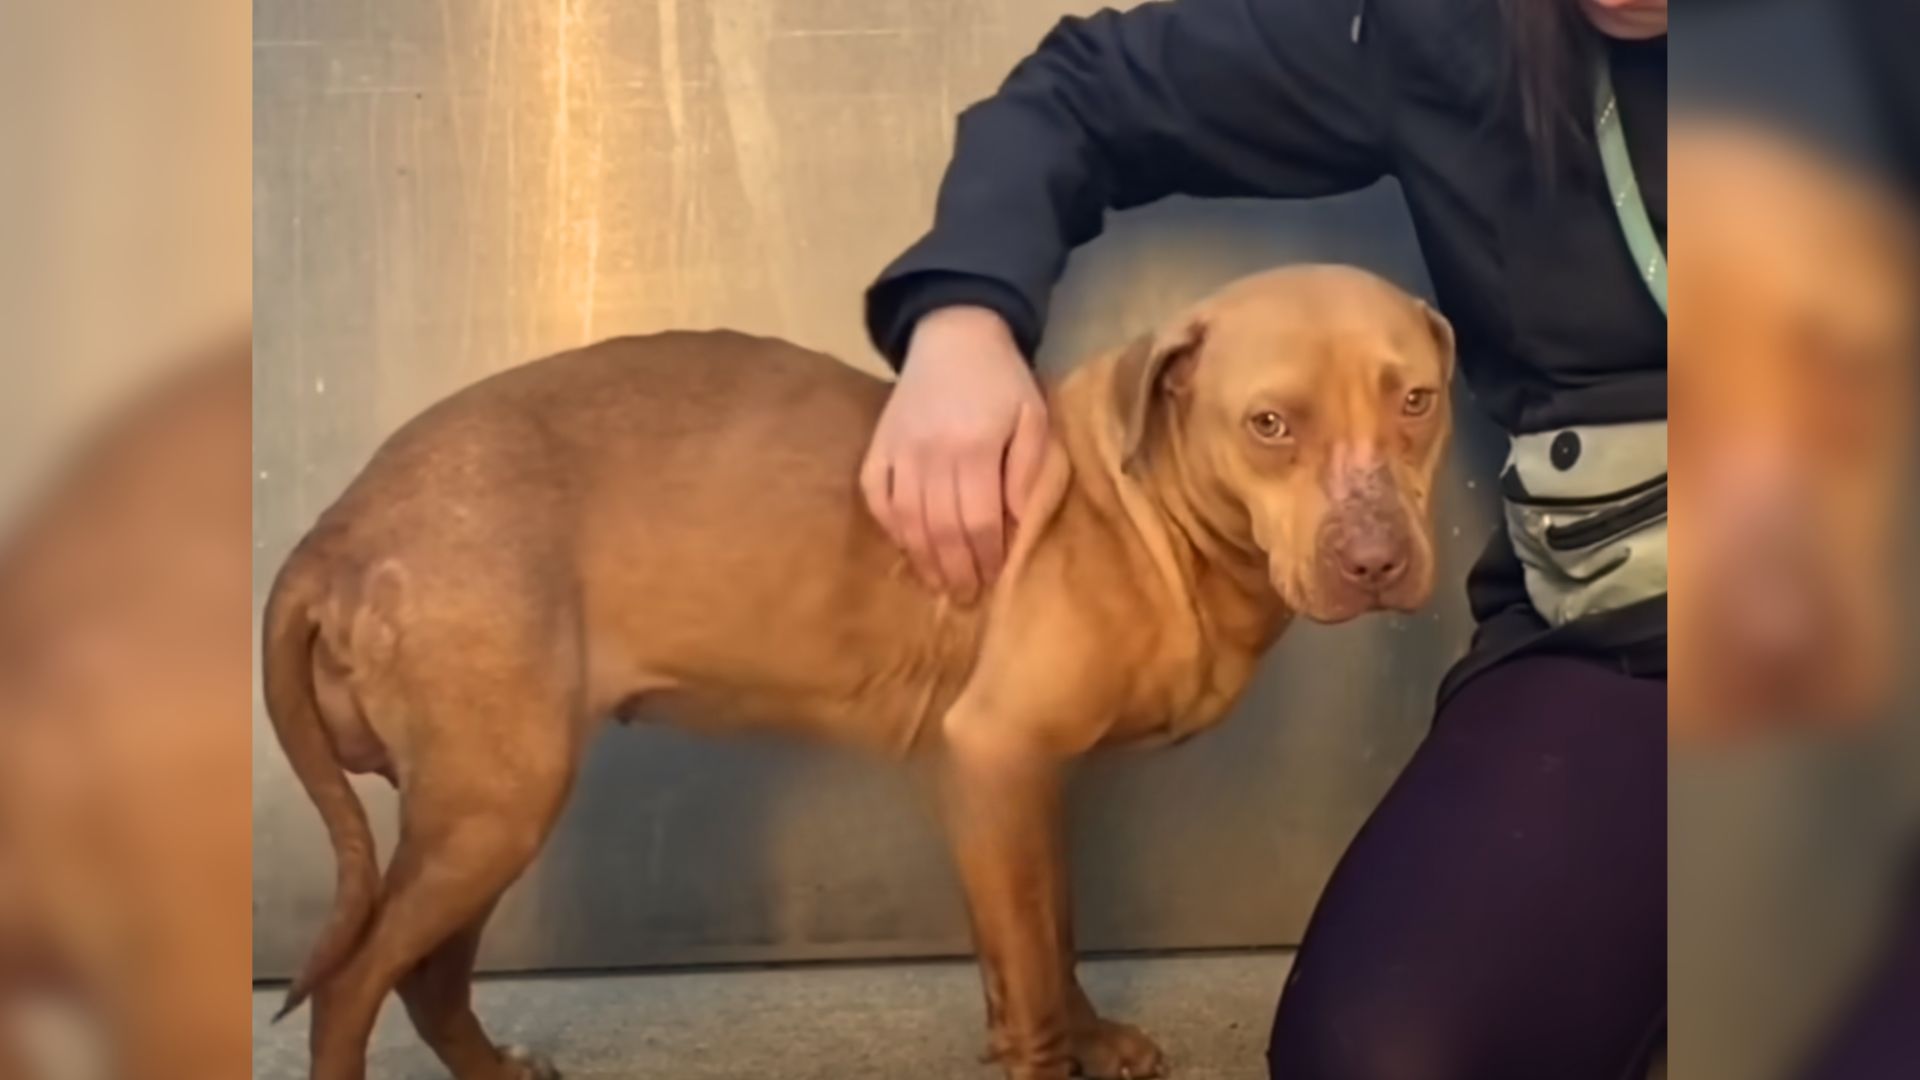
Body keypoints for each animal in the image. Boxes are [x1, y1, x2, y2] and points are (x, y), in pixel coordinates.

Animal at [263, 263, 1443, 1076]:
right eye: (1269, 424)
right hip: (495, 802)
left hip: (481, 807)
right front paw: (1050, 1056)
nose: (1377, 560)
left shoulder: (1002, 786)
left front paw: (1088, 1036)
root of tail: (337, 528)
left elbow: (1045, 942)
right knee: (353, 983)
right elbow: (1030, 974)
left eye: (1418, 402)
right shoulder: (998, 759)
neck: (1148, 512)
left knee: (425, 974)